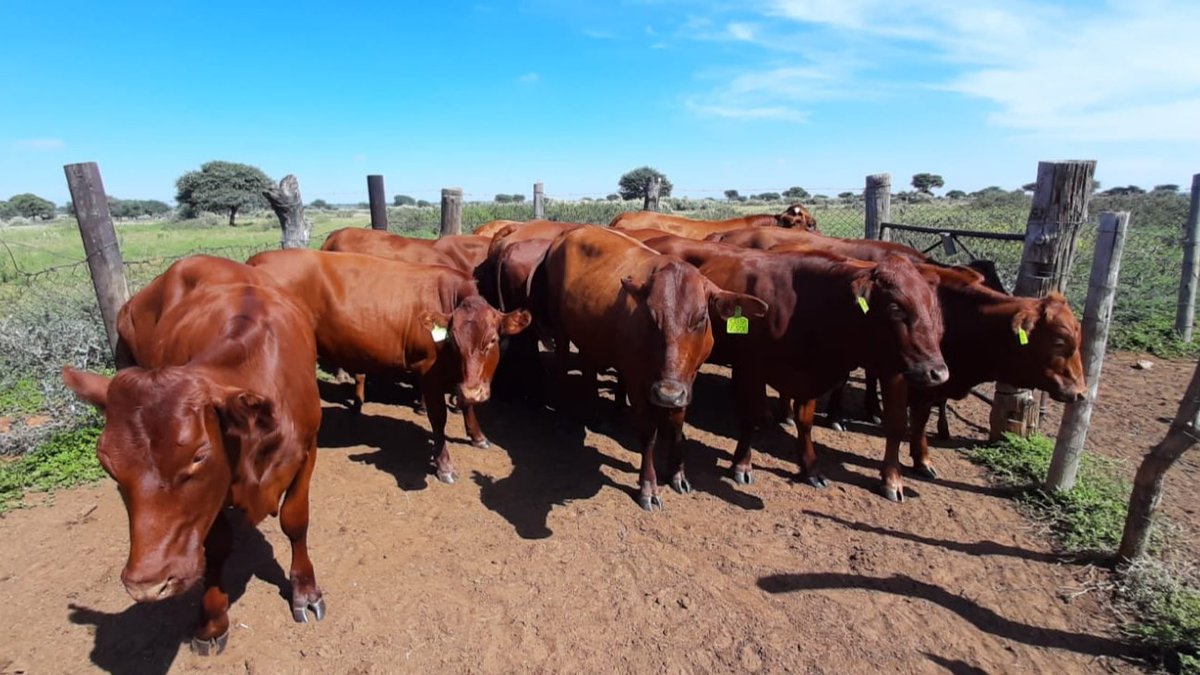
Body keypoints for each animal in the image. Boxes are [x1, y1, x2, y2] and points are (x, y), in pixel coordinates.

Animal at [61, 255, 324, 656]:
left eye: (199, 455)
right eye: (107, 464)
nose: (146, 584)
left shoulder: (308, 449)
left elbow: (295, 520)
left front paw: (305, 592)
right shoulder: (210, 499)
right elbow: (215, 545)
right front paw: (212, 621)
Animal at [246, 249, 530, 483]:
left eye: (492, 340)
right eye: (454, 340)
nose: (474, 390)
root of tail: (257, 261)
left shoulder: (463, 378)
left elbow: (467, 404)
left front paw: (478, 437)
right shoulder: (428, 371)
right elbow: (439, 418)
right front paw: (444, 466)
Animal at [539, 226, 768, 510]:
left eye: (701, 318)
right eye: (650, 316)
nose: (667, 394)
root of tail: (572, 231)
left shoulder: (688, 379)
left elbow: (678, 425)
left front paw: (678, 474)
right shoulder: (638, 380)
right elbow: (648, 433)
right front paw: (648, 486)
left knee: (589, 367)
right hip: (560, 329)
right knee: (561, 367)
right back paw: (562, 417)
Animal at [697, 249, 948, 497]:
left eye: (930, 305)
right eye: (895, 307)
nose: (938, 372)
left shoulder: (807, 378)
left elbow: (805, 422)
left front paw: (811, 470)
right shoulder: (751, 369)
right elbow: (749, 417)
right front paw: (742, 464)